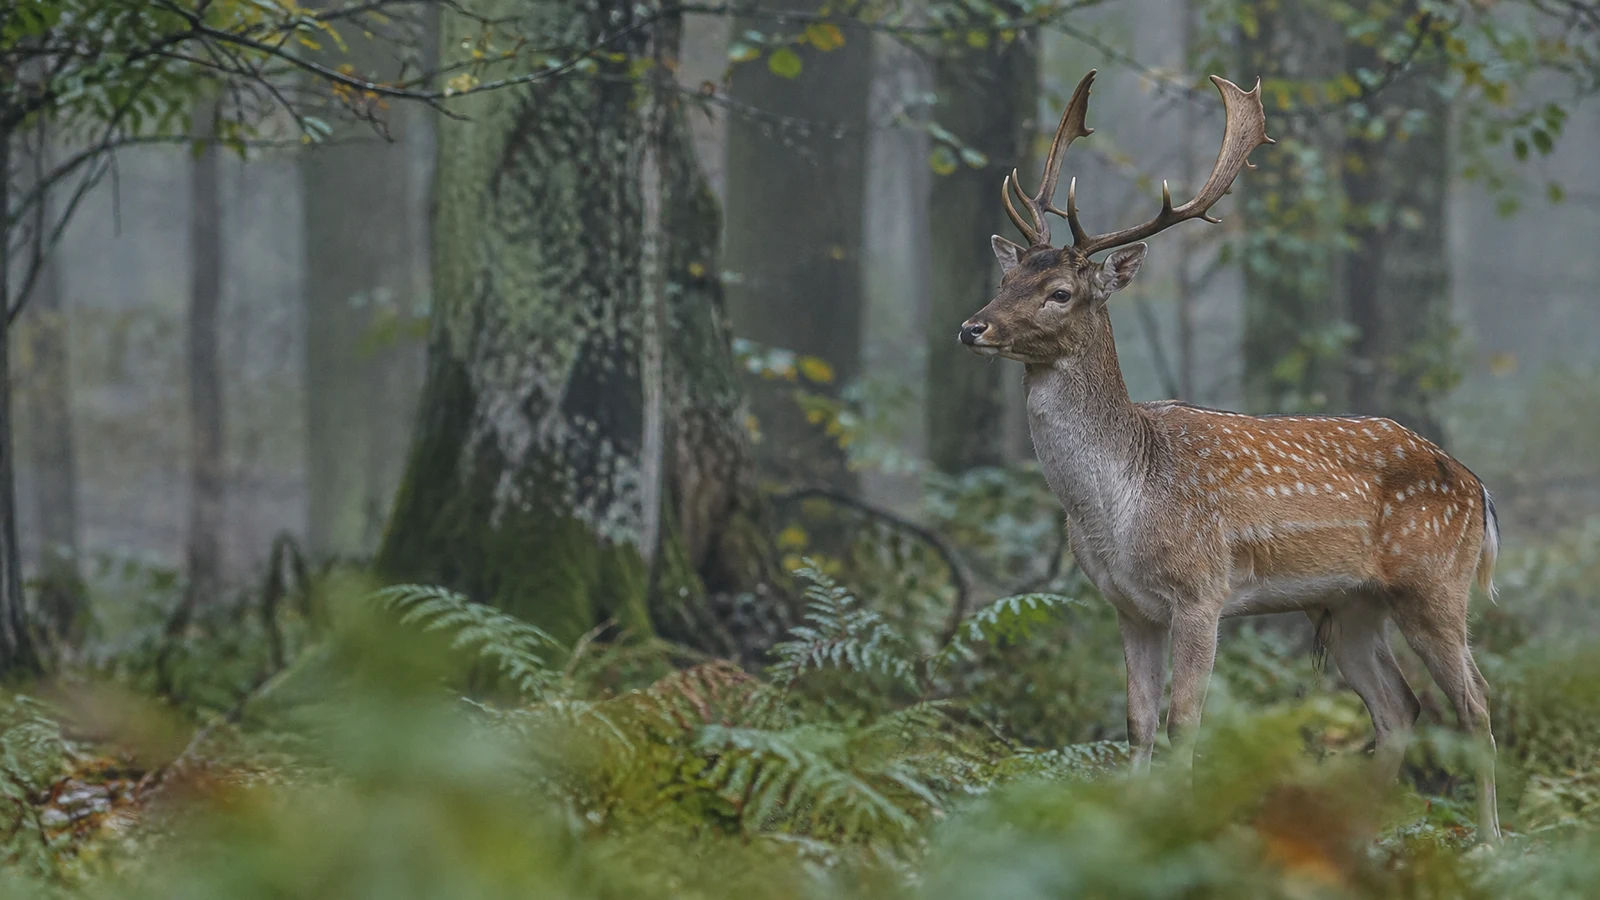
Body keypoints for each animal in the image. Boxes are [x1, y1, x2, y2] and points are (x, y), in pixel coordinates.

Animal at [958, 70, 1501, 842]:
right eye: (1006, 280)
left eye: (1059, 292)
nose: (972, 328)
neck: (1116, 505)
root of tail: (1476, 486)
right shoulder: (1127, 606)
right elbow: (1137, 722)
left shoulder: (1200, 591)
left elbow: (1184, 722)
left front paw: (1183, 832)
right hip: (1351, 606)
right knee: (1400, 706)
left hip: (1435, 583)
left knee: (1475, 702)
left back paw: (1491, 843)